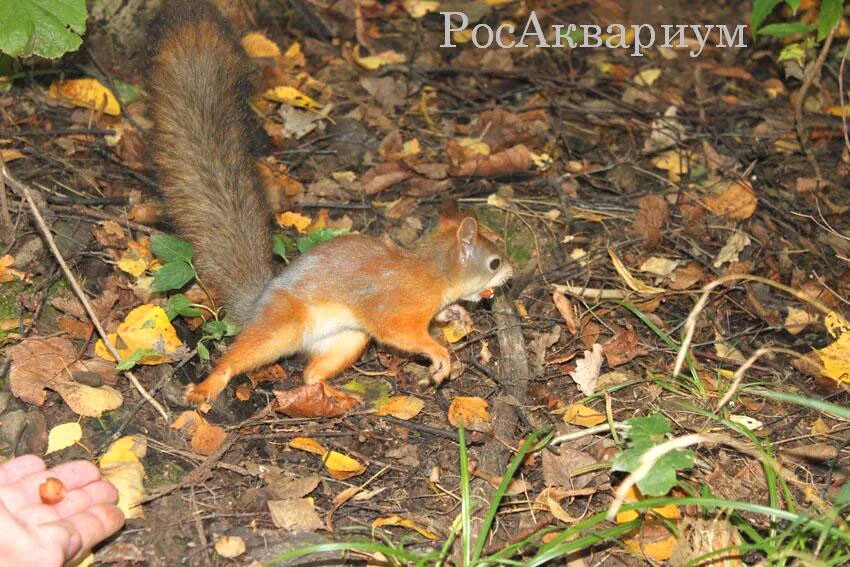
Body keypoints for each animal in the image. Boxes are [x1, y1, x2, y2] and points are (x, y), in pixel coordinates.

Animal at [149, 0, 512, 408]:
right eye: (494, 262)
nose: (511, 272)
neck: (433, 274)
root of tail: (257, 306)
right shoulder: (396, 308)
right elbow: (401, 333)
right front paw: (440, 354)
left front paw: (455, 314)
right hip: (284, 327)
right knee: (239, 356)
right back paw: (210, 385)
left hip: (347, 340)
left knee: (310, 373)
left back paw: (334, 396)